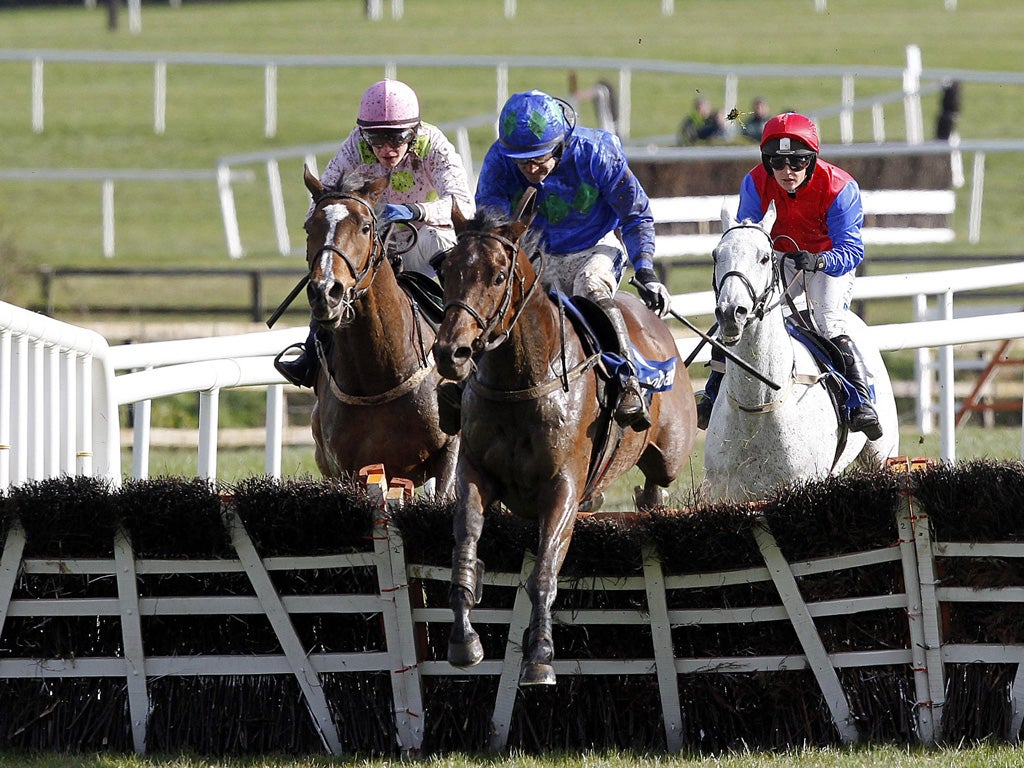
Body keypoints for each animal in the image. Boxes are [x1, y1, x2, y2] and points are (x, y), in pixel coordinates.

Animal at [301, 165, 458, 495]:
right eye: (309, 227)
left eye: (364, 227)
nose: (326, 292)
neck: (379, 373)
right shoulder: (346, 468)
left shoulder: (451, 449)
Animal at [432, 191, 696, 684]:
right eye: (446, 269)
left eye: (498, 275)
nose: (449, 352)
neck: (521, 381)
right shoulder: (474, 473)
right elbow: (464, 545)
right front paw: (464, 638)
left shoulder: (563, 486)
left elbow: (545, 570)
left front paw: (539, 655)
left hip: (669, 453)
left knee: (657, 484)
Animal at [704, 202, 897, 505]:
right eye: (716, 255)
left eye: (764, 258)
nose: (731, 312)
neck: (758, 405)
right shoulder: (723, 492)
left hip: (882, 453)